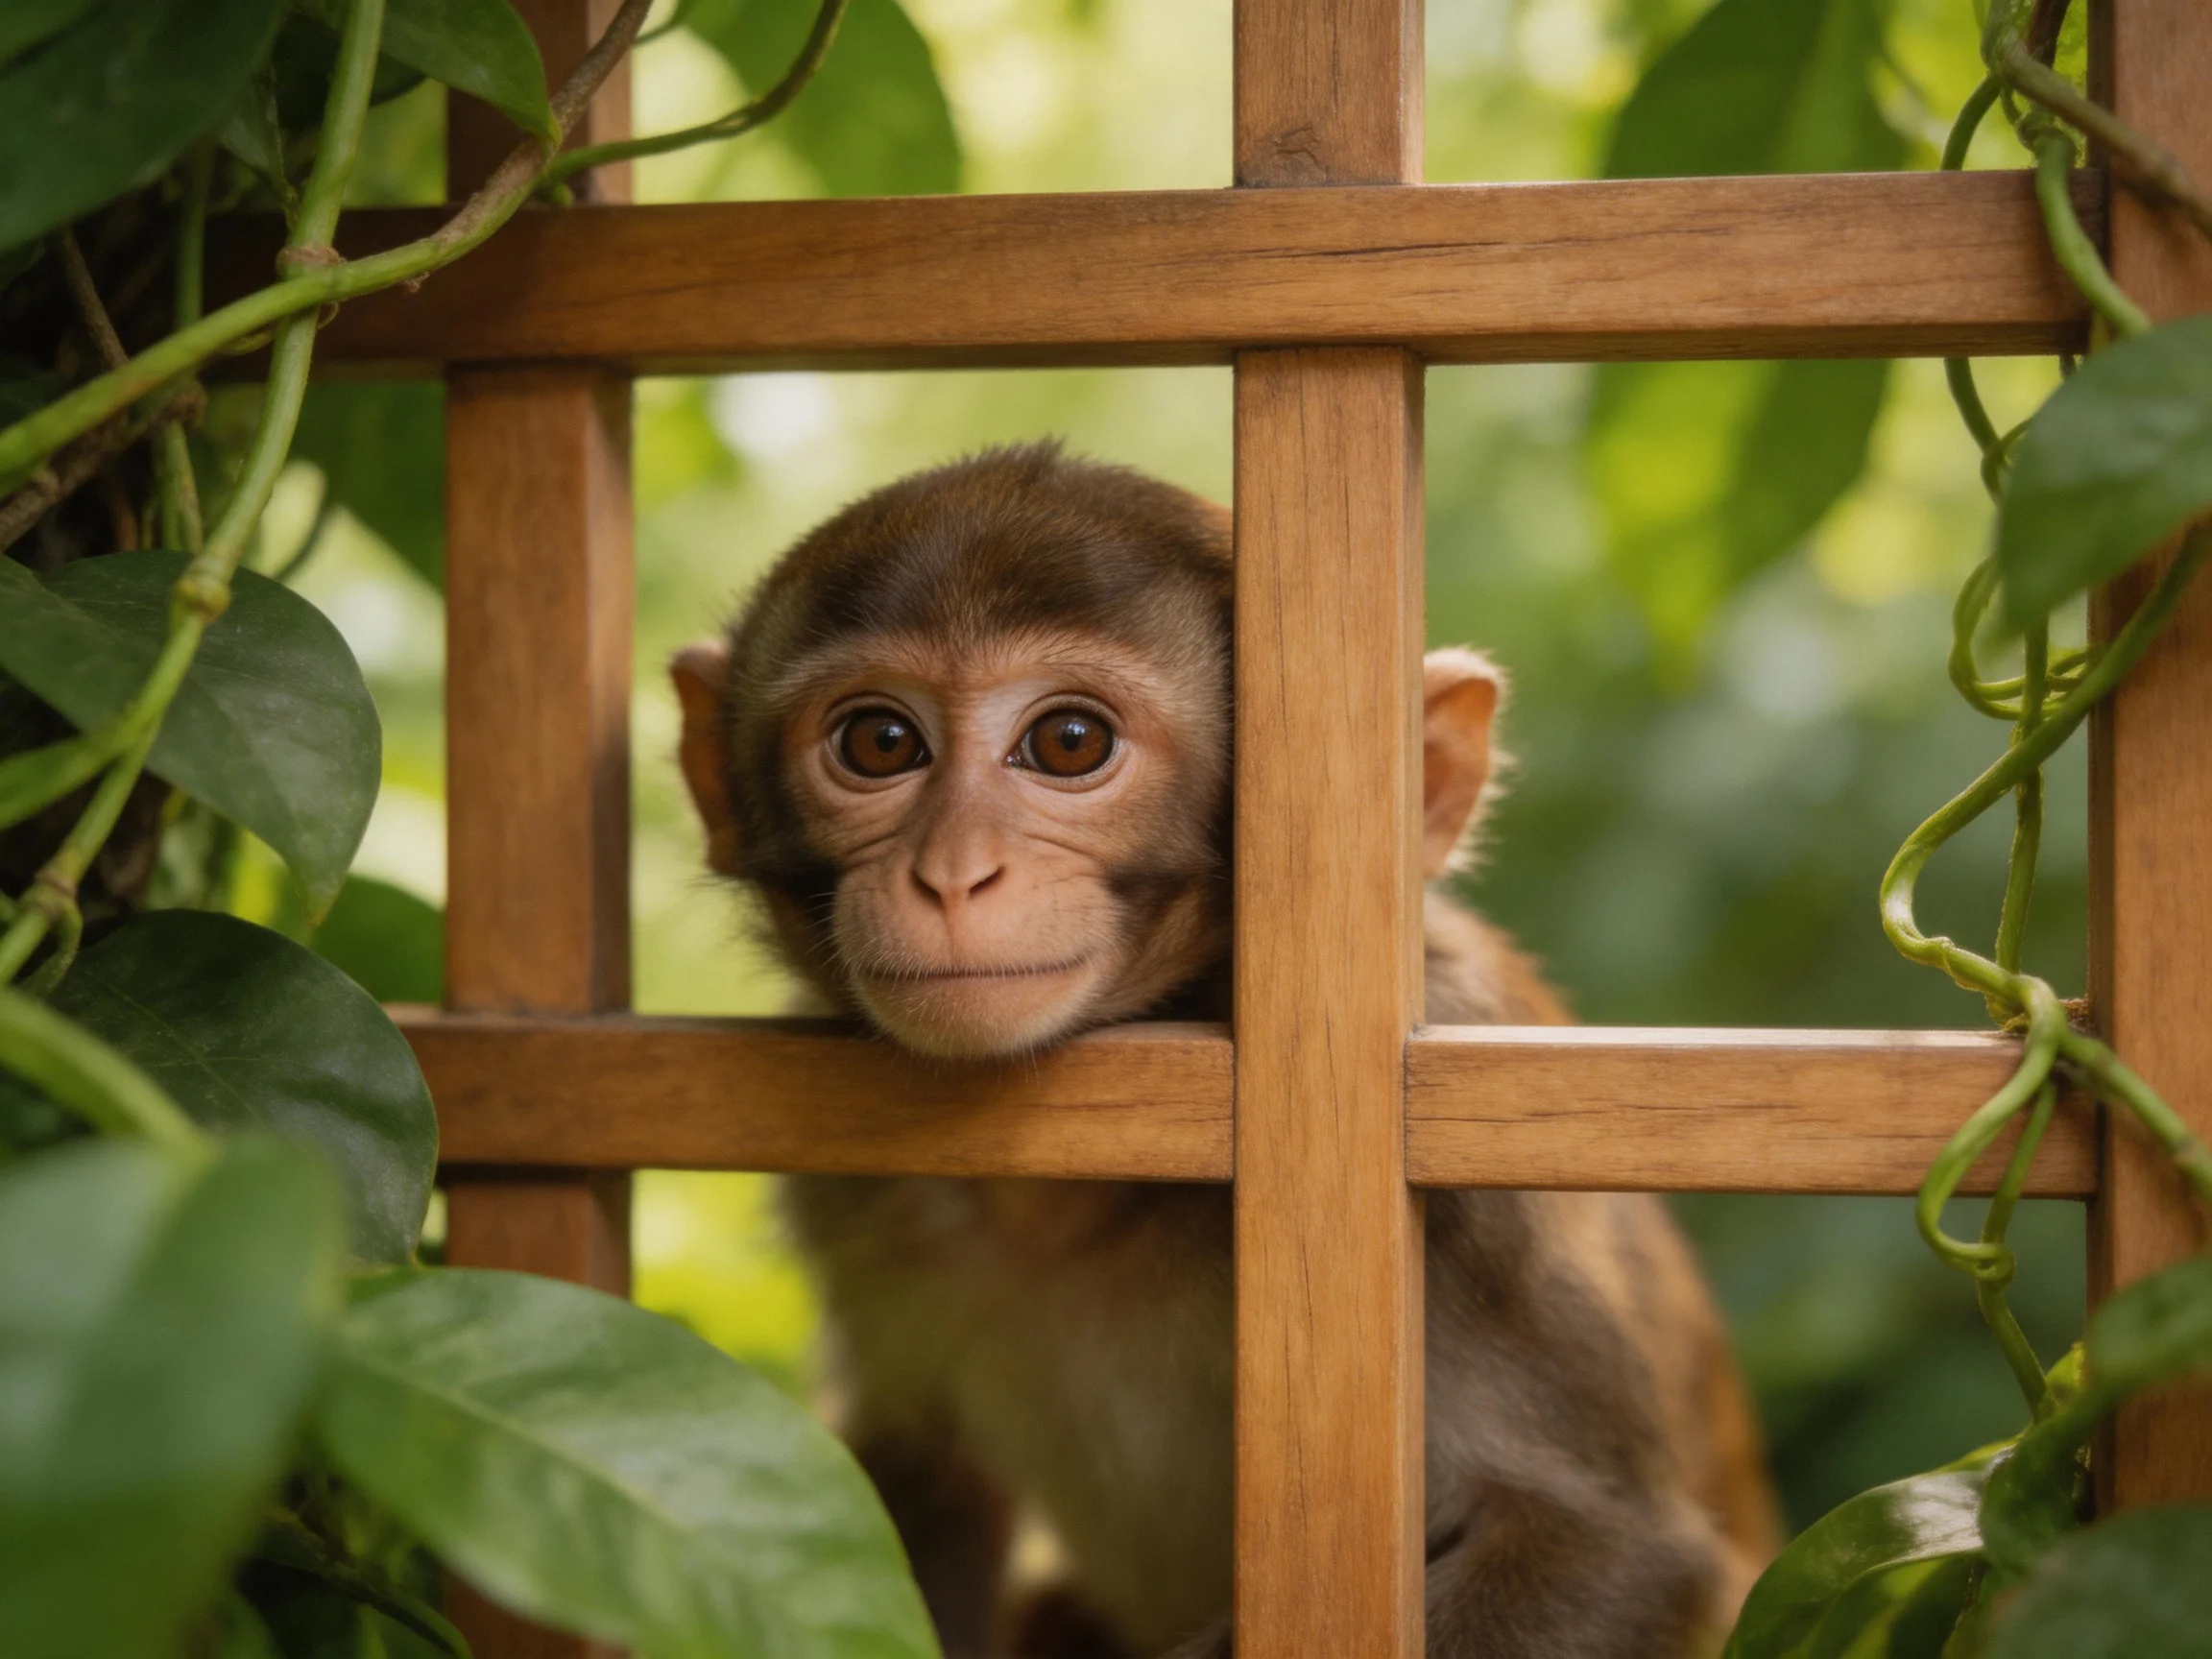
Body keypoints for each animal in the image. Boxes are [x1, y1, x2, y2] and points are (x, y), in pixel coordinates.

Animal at [670, 443, 1781, 1659]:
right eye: (879, 743)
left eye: (1068, 742)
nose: (953, 874)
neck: (1063, 1205)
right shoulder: (851, 1190)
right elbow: (918, 1478)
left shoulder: (1476, 1187)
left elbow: (1609, 1550)